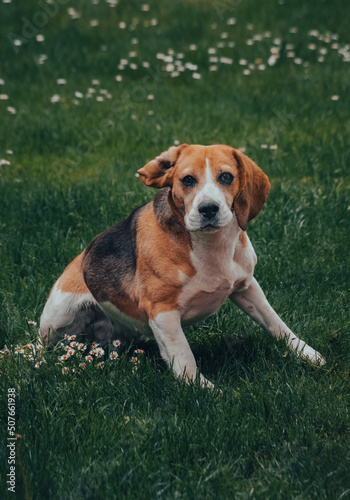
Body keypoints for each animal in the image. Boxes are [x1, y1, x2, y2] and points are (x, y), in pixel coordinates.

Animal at [39, 145, 324, 386]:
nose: (208, 209)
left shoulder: (246, 286)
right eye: (187, 180)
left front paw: (307, 354)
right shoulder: (162, 311)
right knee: (42, 347)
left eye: (226, 177)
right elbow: (184, 356)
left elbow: (276, 323)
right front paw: (203, 390)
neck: (211, 246)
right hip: (57, 318)